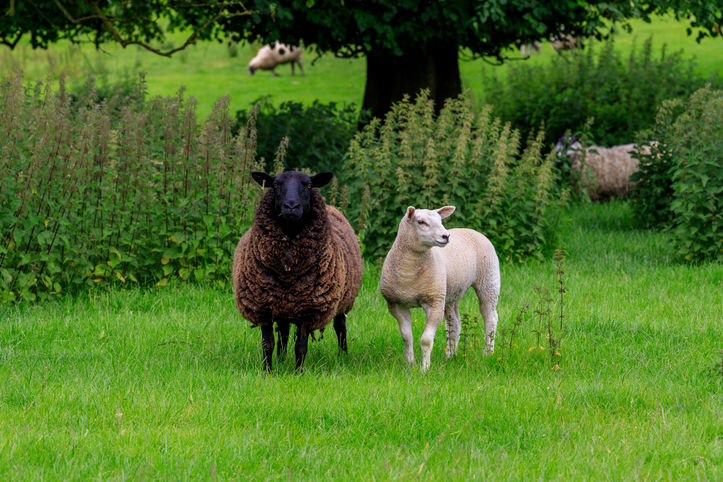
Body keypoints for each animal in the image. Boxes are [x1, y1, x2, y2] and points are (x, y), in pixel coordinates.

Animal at [232, 170, 363, 372]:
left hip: (342, 298)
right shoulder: (263, 307)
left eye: (308, 185)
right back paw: (281, 359)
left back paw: (343, 357)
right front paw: (267, 371)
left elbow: (301, 346)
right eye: (276, 185)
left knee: (340, 327)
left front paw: (298, 373)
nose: (291, 206)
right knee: (284, 333)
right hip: (282, 305)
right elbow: (268, 344)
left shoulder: (308, 310)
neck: (288, 269)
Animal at [380, 206, 501, 371]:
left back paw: (488, 352)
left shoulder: (434, 302)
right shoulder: (396, 305)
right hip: (451, 292)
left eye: (440, 220)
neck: (408, 274)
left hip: (489, 281)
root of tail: (470, 229)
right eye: (421, 222)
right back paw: (451, 355)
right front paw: (411, 364)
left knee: (490, 318)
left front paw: (424, 368)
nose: (446, 236)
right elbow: (407, 337)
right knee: (454, 322)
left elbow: (426, 340)